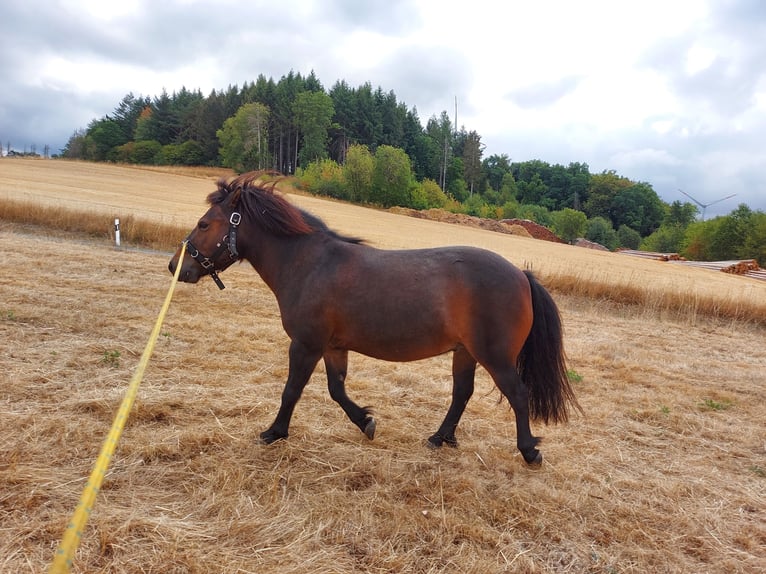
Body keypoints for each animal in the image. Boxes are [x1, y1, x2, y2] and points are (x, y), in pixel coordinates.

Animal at [168, 173, 580, 466]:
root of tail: (521, 276)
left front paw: (274, 432)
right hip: (465, 352)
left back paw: (529, 451)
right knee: (462, 394)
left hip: (494, 356)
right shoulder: (332, 347)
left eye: (204, 224)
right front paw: (365, 422)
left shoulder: (305, 345)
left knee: (518, 395)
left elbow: (292, 390)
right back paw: (439, 438)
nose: (176, 266)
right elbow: (336, 390)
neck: (308, 263)